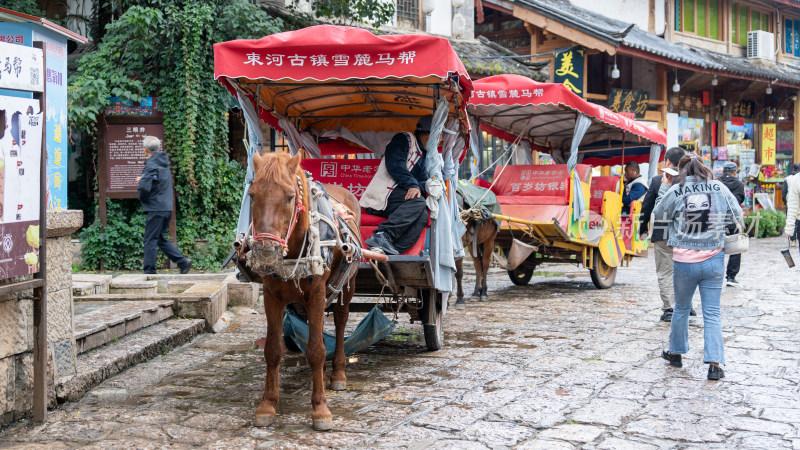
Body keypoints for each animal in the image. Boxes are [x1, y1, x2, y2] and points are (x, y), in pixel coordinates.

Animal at [245, 152, 358, 432]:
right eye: (251, 195)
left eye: (289, 196)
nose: (266, 251)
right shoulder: (271, 295)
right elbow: (273, 350)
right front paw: (267, 404)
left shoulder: (317, 292)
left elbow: (316, 350)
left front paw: (320, 409)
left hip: (347, 283)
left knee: (340, 321)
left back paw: (338, 373)